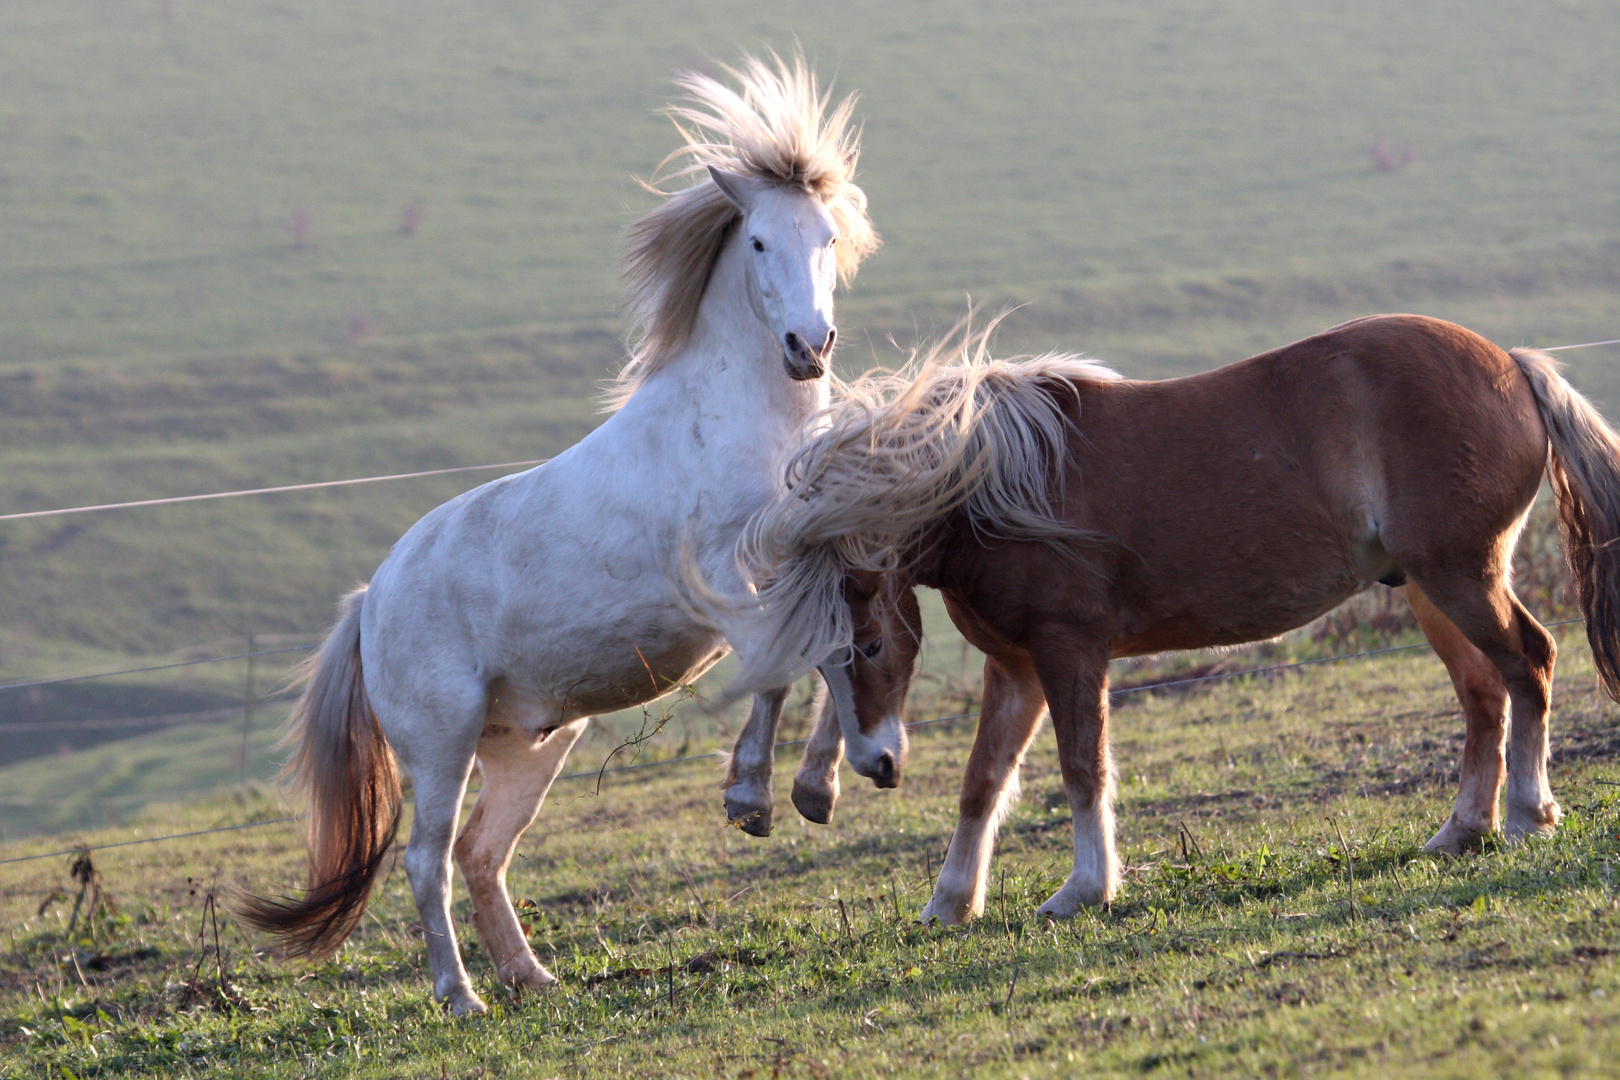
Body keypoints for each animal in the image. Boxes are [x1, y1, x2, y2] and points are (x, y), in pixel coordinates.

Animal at [239, 55, 881, 1016]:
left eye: (828, 239)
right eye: (761, 243)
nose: (812, 346)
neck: (739, 421)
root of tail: (369, 600)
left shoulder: (803, 570)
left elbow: (831, 655)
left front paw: (819, 785)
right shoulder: (733, 594)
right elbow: (791, 669)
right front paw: (762, 795)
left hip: (528, 744)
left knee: (482, 853)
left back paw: (531, 977)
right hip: (441, 743)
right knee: (427, 861)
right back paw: (460, 995)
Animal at [722, 317, 1620, 926]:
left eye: (872, 644)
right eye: (824, 661)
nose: (877, 766)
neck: (996, 486)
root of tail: (1513, 365)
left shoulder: (1071, 653)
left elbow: (1083, 769)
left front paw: (1084, 890)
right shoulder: (1015, 667)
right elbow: (983, 783)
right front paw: (950, 903)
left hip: (1463, 576)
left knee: (1531, 662)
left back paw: (1527, 813)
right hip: (1432, 590)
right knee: (1485, 694)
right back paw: (1462, 830)